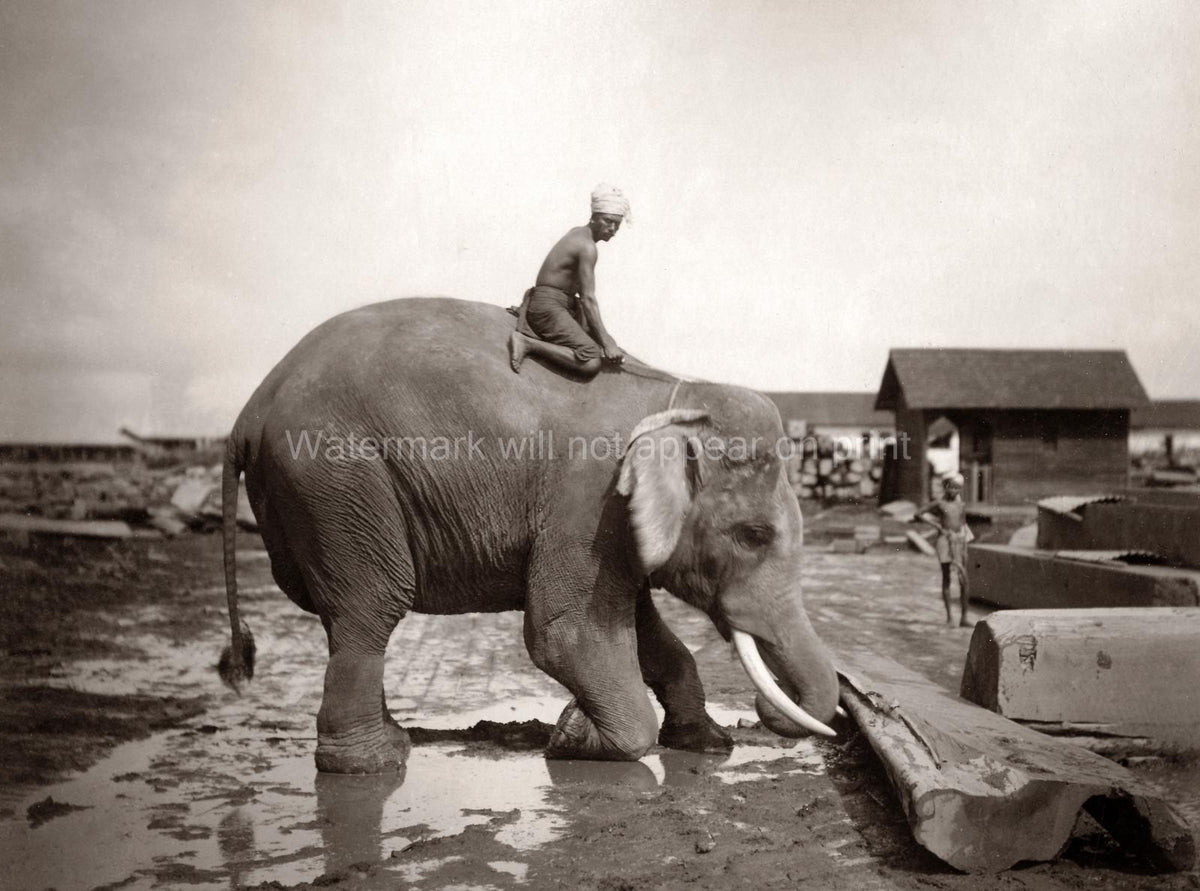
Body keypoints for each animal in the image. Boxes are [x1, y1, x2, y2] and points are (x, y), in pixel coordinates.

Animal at [218, 297, 840, 774]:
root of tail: (247, 412)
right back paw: (375, 762)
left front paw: (706, 742)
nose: (762, 712)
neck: (676, 398)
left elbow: (645, 629)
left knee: (346, 614)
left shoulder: (614, 527)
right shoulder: (587, 501)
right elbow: (562, 630)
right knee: (373, 605)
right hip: (337, 480)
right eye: (754, 535)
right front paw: (570, 736)